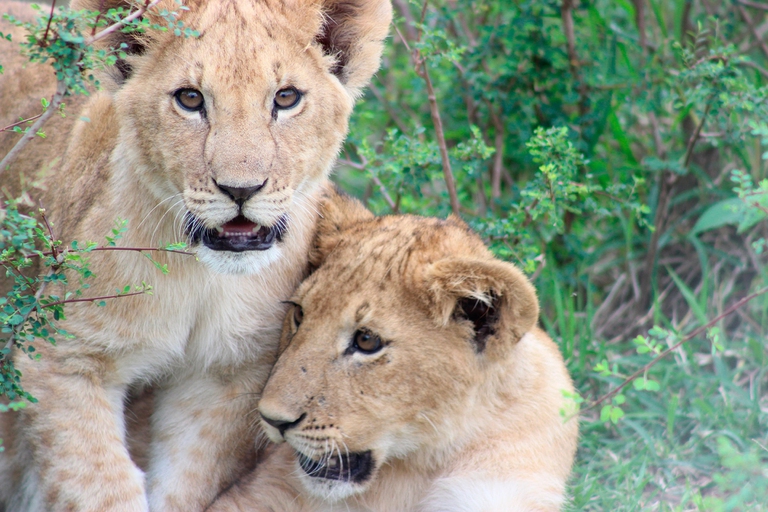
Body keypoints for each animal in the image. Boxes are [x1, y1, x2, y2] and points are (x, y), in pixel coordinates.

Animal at [0, 1, 391, 511]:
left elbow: (184, 484)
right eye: (190, 99)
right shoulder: (65, 359)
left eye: (286, 98)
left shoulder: (224, 380)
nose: (241, 190)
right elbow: (100, 486)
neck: (202, 276)